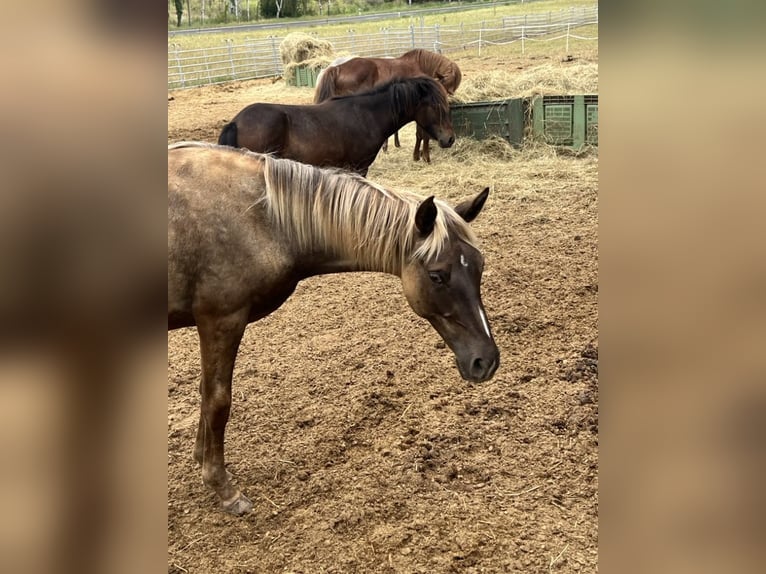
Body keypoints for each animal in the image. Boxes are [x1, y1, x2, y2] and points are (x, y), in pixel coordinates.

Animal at [169, 144, 500, 516]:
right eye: (437, 275)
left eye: (480, 266)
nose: (486, 360)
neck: (262, 218)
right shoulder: (221, 320)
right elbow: (217, 400)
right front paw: (222, 486)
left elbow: (205, 392)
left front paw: (202, 459)